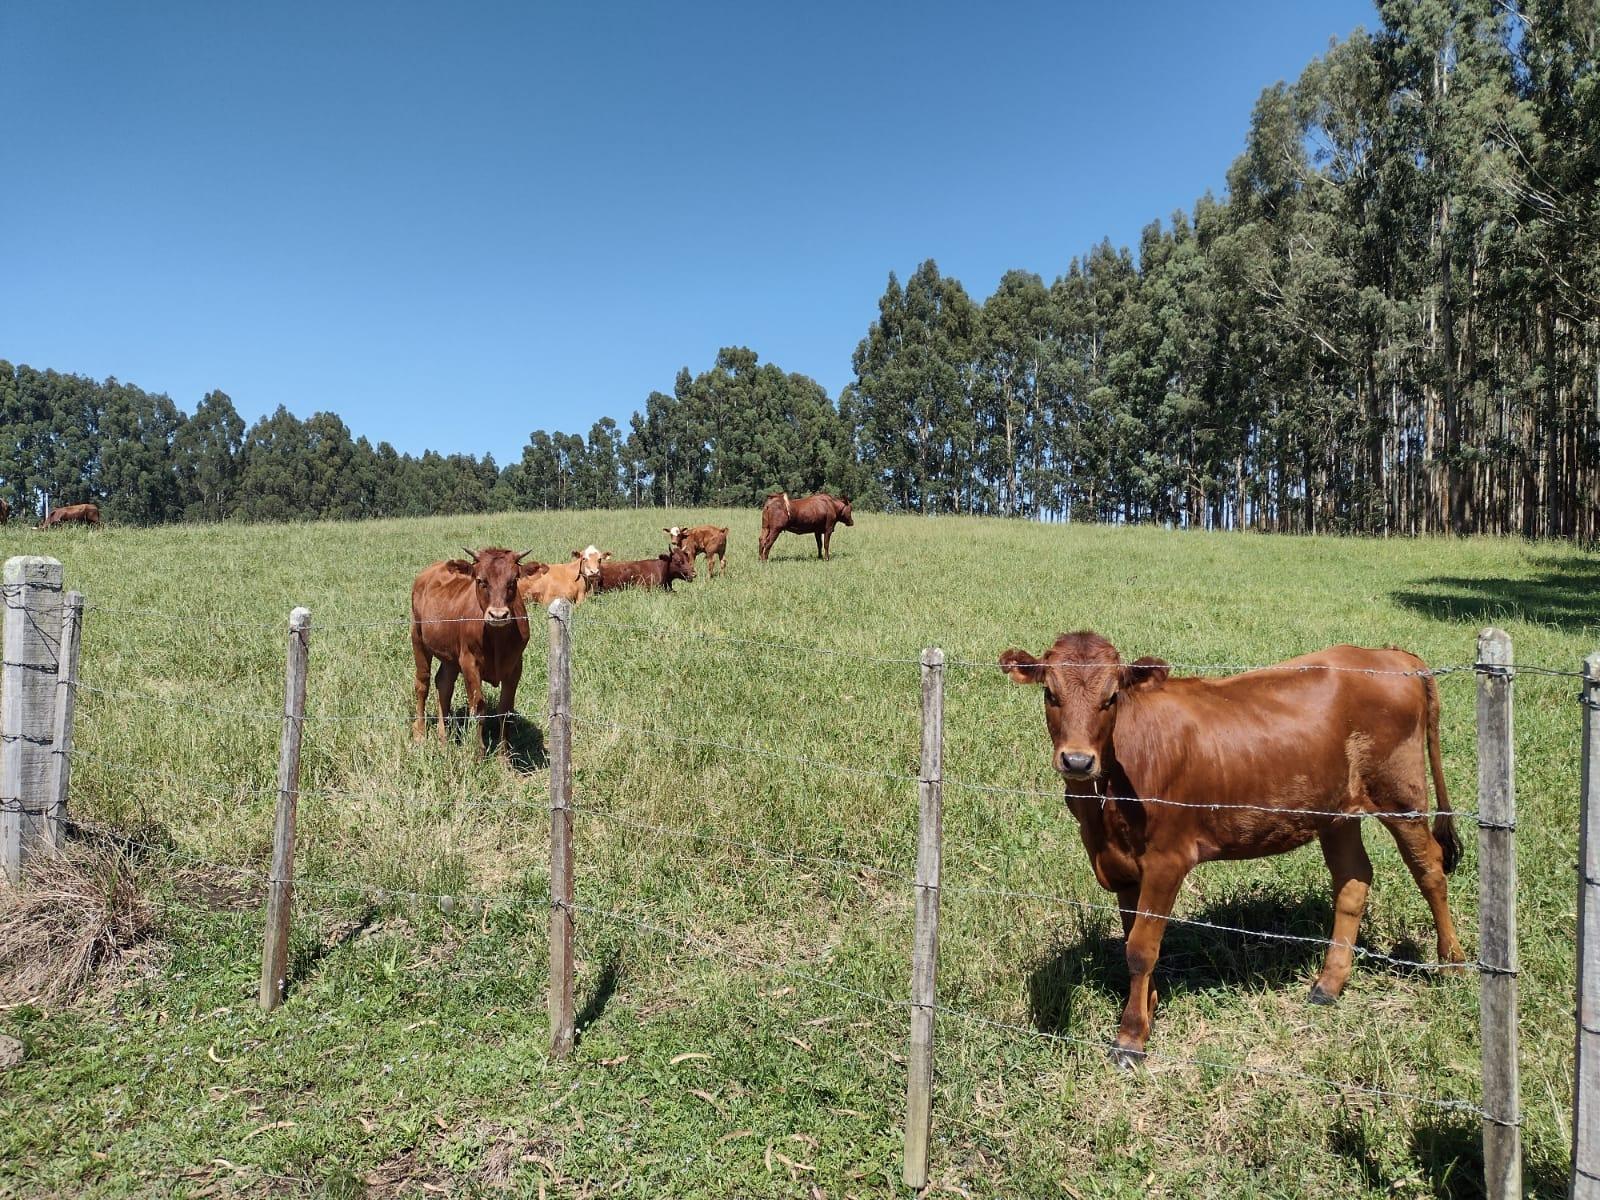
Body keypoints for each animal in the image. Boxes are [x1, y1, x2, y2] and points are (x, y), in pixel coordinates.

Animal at [412, 553, 544, 755]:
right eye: (481, 580)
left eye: (513, 581)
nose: (498, 615)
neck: (497, 639)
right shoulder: (469, 663)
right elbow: (479, 707)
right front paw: (479, 753)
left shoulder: (515, 667)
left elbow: (505, 710)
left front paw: (504, 756)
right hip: (417, 637)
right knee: (422, 684)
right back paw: (419, 734)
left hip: (450, 656)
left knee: (444, 684)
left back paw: (443, 739)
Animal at [998, 633, 1465, 1068]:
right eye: (1050, 693)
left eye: (1111, 697)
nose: (1077, 761)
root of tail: (1390, 655)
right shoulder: (1121, 865)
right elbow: (1134, 939)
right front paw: (1147, 1010)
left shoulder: (1167, 860)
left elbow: (1141, 949)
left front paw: (1130, 1039)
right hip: (1337, 812)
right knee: (1353, 880)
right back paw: (1327, 986)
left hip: (1401, 795)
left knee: (1429, 869)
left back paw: (1452, 963)